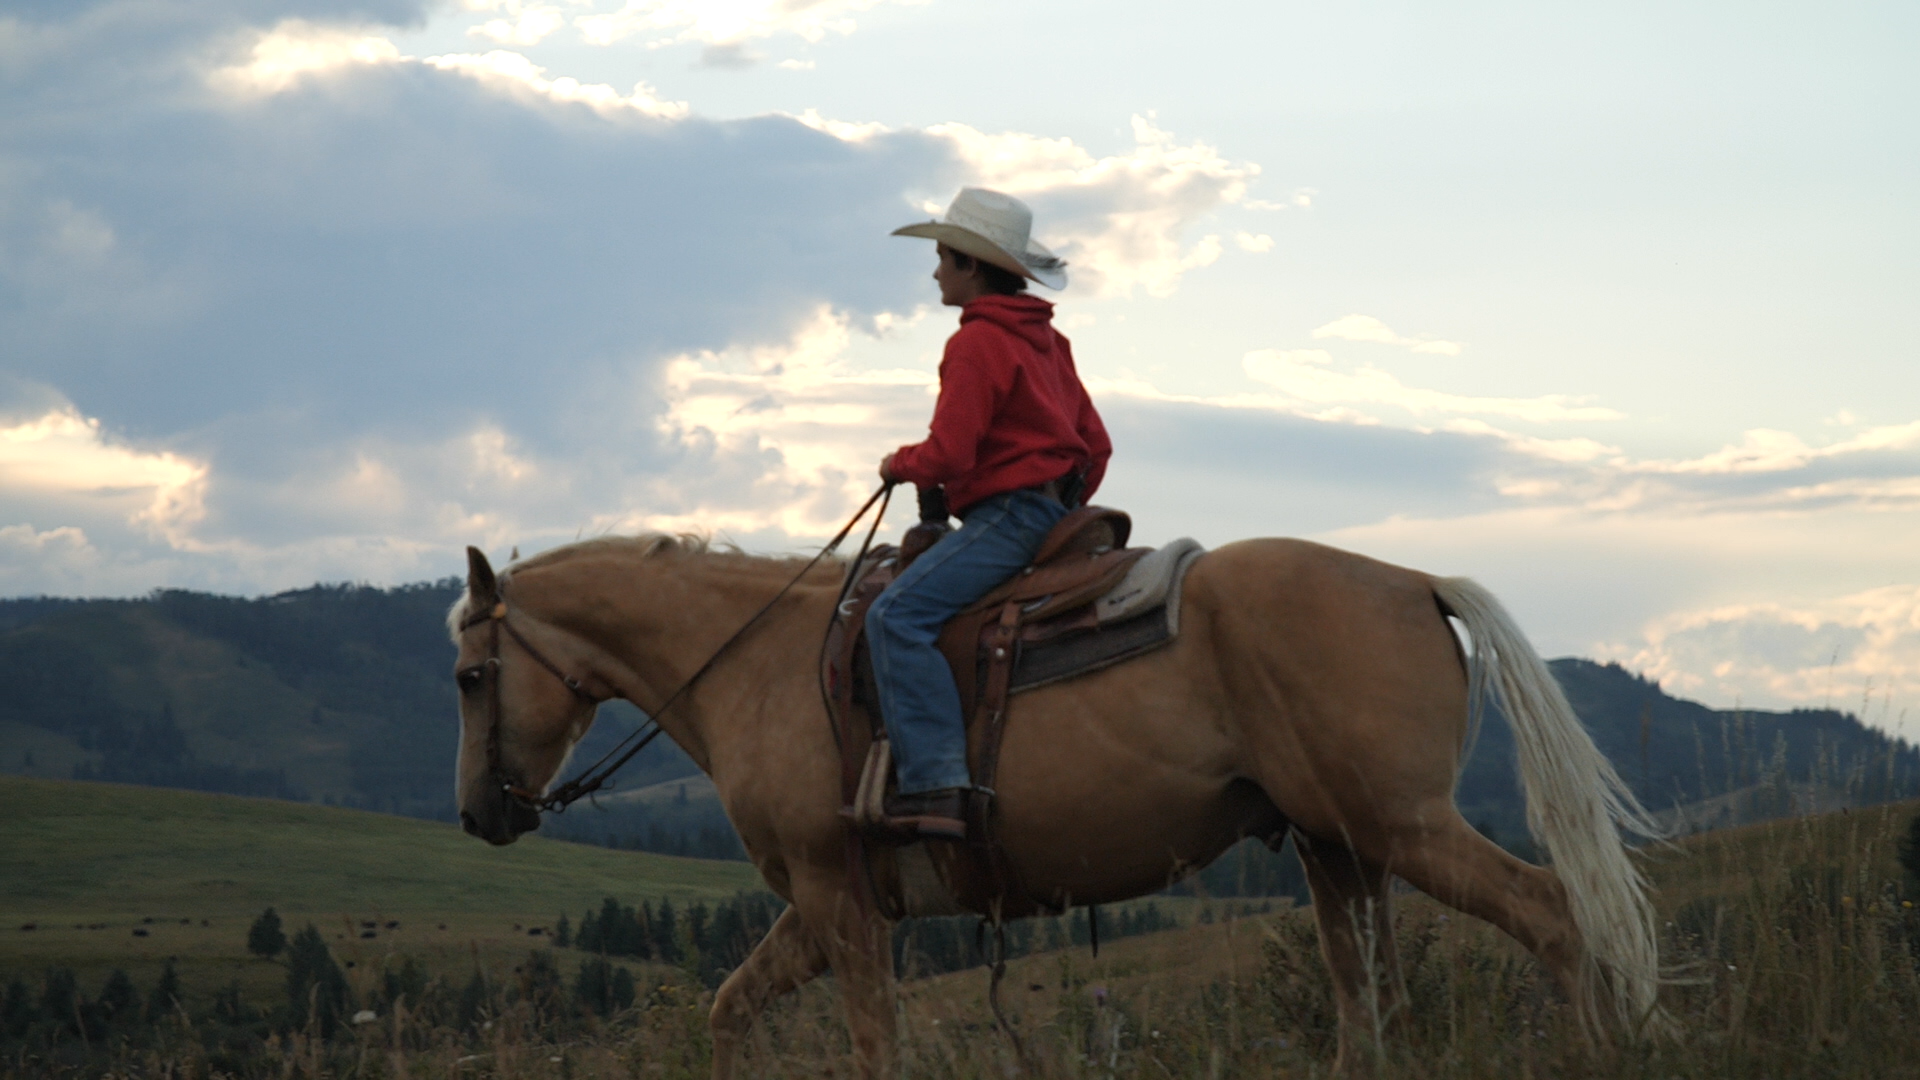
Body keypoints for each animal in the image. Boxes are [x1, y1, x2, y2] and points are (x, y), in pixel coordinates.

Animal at [449, 526, 1666, 1068]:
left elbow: (872, 1044)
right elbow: (728, 1008)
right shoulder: (827, 908)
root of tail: (1414, 580)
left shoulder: (841, 903)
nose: (478, 815)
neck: (756, 662)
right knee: (1370, 998)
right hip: (1339, 850)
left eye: (466, 676)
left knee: (1552, 914)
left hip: (1402, 827)